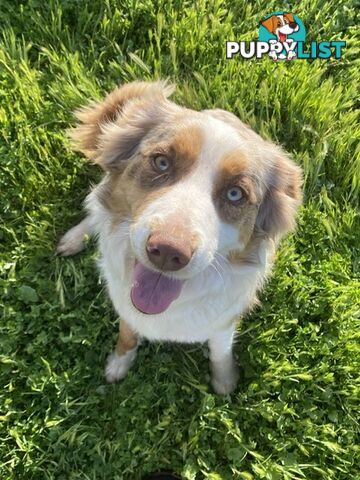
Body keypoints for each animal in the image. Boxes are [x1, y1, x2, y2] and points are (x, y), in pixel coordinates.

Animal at [57, 81, 302, 394]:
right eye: (162, 162)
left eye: (236, 194)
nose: (167, 252)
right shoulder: (125, 307)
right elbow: (127, 335)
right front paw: (119, 364)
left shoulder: (223, 323)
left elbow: (220, 352)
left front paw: (224, 382)